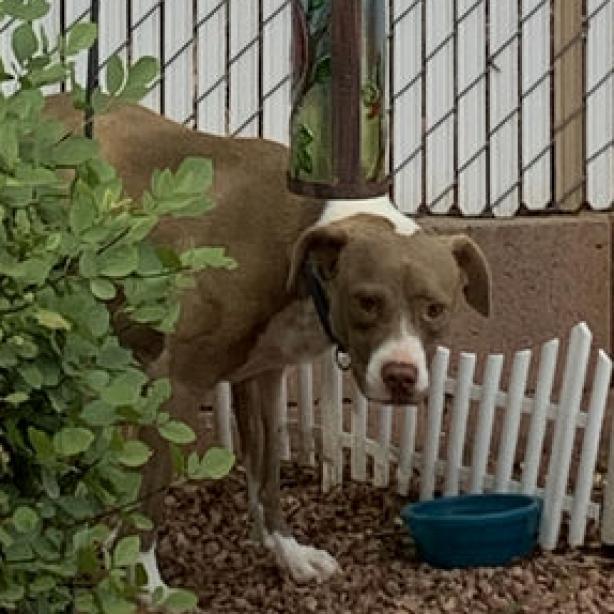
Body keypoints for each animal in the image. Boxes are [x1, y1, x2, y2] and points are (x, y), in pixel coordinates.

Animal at [45, 96, 494, 592]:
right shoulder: (178, 380)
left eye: (435, 309)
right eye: (366, 301)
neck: (302, 248)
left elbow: (267, 471)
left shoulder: (263, 375)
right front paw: (146, 581)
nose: (401, 376)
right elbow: (154, 489)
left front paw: (288, 552)